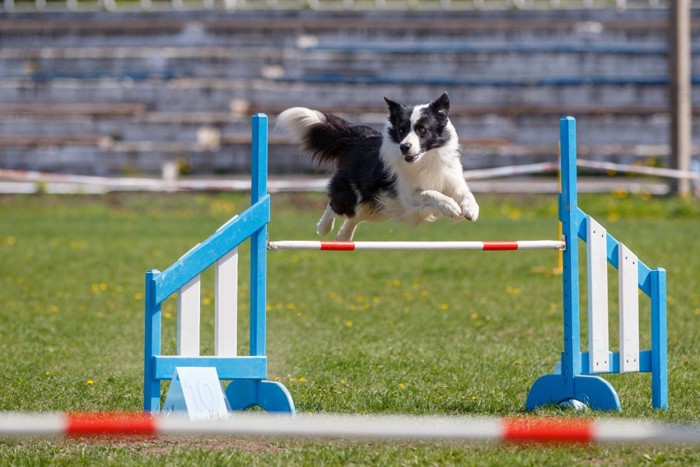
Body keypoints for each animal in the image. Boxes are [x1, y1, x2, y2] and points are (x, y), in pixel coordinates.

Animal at [276, 93, 478, 243]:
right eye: (401, 130)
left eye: (422, 130)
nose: (404, 147)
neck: (426, 160)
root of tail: (356, 137)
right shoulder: (408, 195)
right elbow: (430, 193)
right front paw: (451, 206)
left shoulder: (452, 181)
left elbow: (467, 194)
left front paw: (471, 210)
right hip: (356, 196)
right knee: (336, 204)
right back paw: (324, 228)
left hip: (381, 205)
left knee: (355, 216)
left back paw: (343, 237)